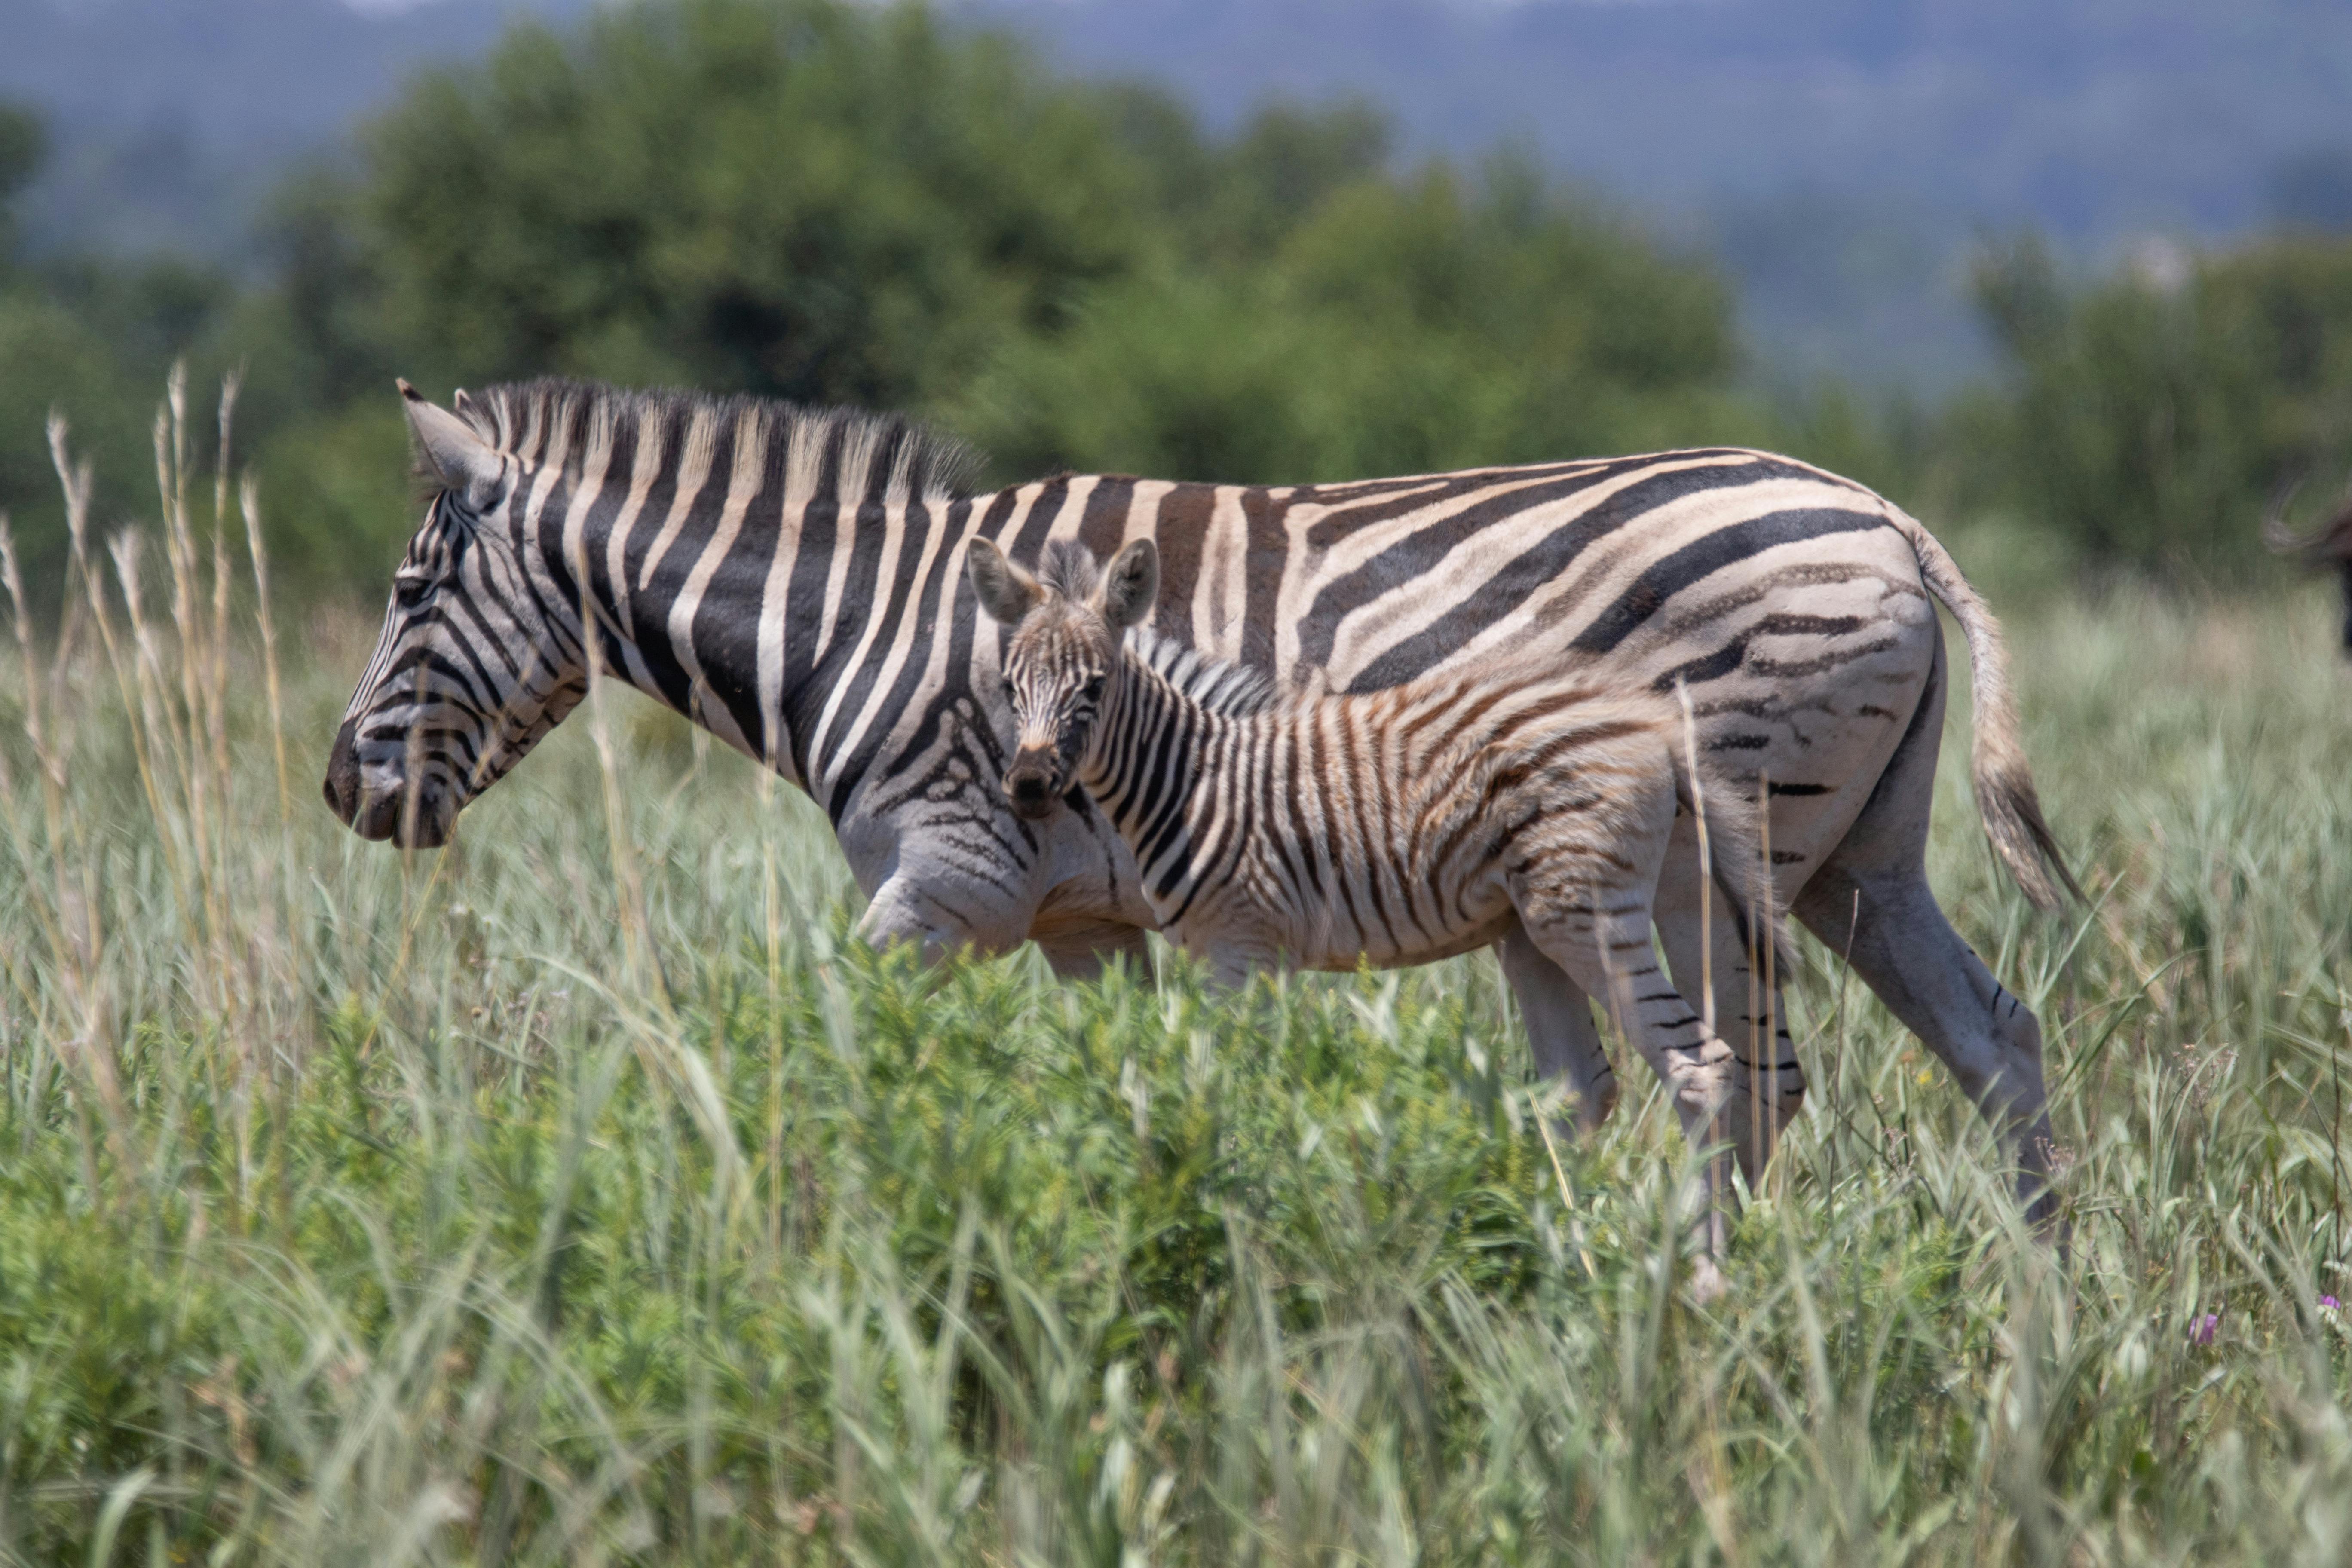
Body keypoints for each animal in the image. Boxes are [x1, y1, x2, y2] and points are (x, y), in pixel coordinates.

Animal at [322, 376, 2070, 1204]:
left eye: (407, 595)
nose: (342, 790)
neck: (868, 626)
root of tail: (1883, 514)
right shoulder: (1081, 917)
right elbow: (1124, 1084)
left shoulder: (949, 878)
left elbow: (814, 1034)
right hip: (1859, 859)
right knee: (1994, 1038)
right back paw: (2032, 1309)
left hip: (1733, 849)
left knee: (1758, 1076)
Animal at [964, 540, 1787, 1288]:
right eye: (1009, 686)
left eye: (1095, 687)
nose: (1029, 786)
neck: (1190, 778)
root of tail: (1657, 727)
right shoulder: (1241, 955)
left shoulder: (1242, 945)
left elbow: (1230, 1085)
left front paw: (1234, 1223)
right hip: (1564, 920)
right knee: (1587, 1090)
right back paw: (1567, 1261)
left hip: (1584, 916)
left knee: (1700, 1068)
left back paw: (1701, 1276)